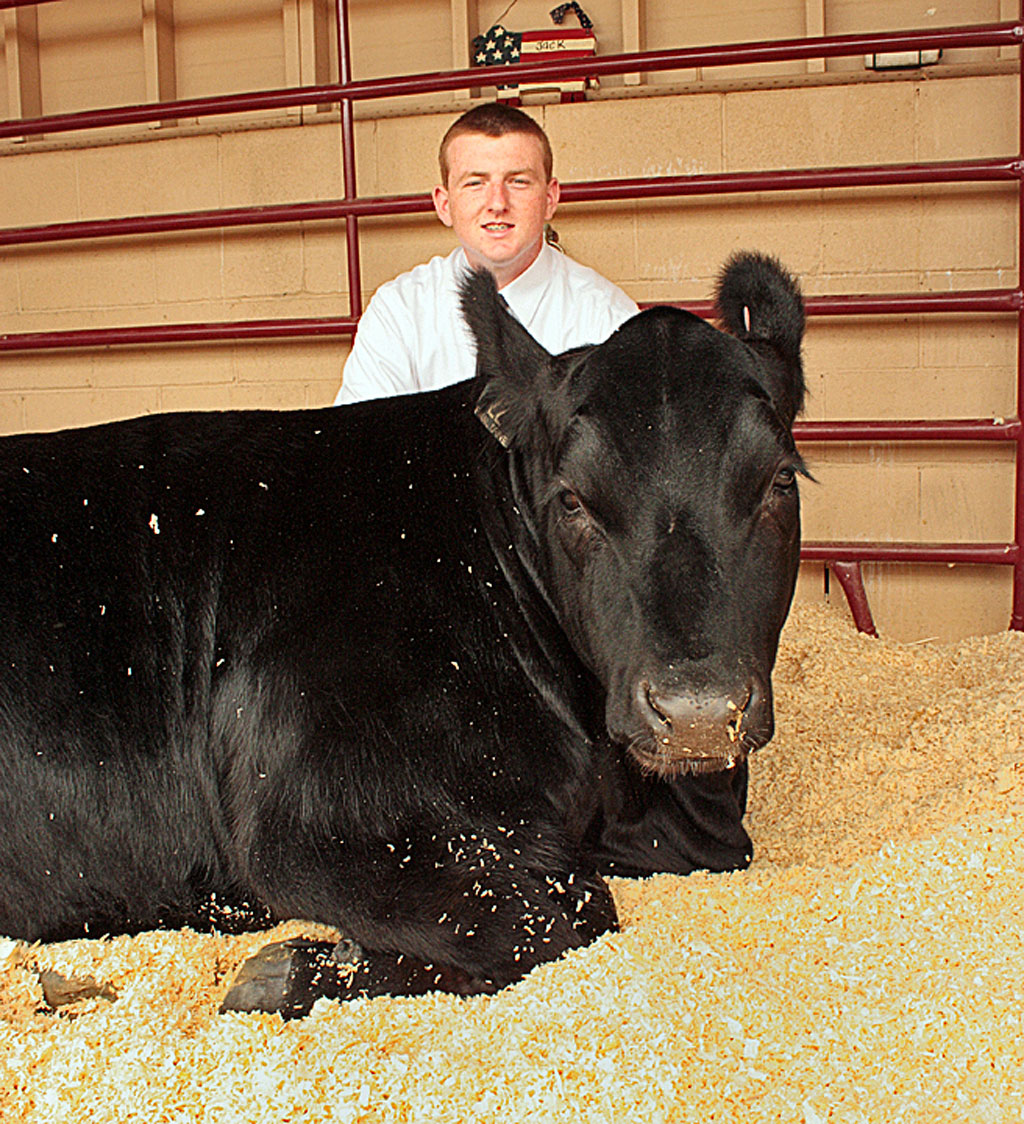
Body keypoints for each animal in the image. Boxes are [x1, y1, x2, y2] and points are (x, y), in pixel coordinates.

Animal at [0, 252, 809, 1020]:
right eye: (573, 499)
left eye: (778, 481)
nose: (696, 711)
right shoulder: (316, 819)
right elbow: (544, 926)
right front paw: (286, 973)